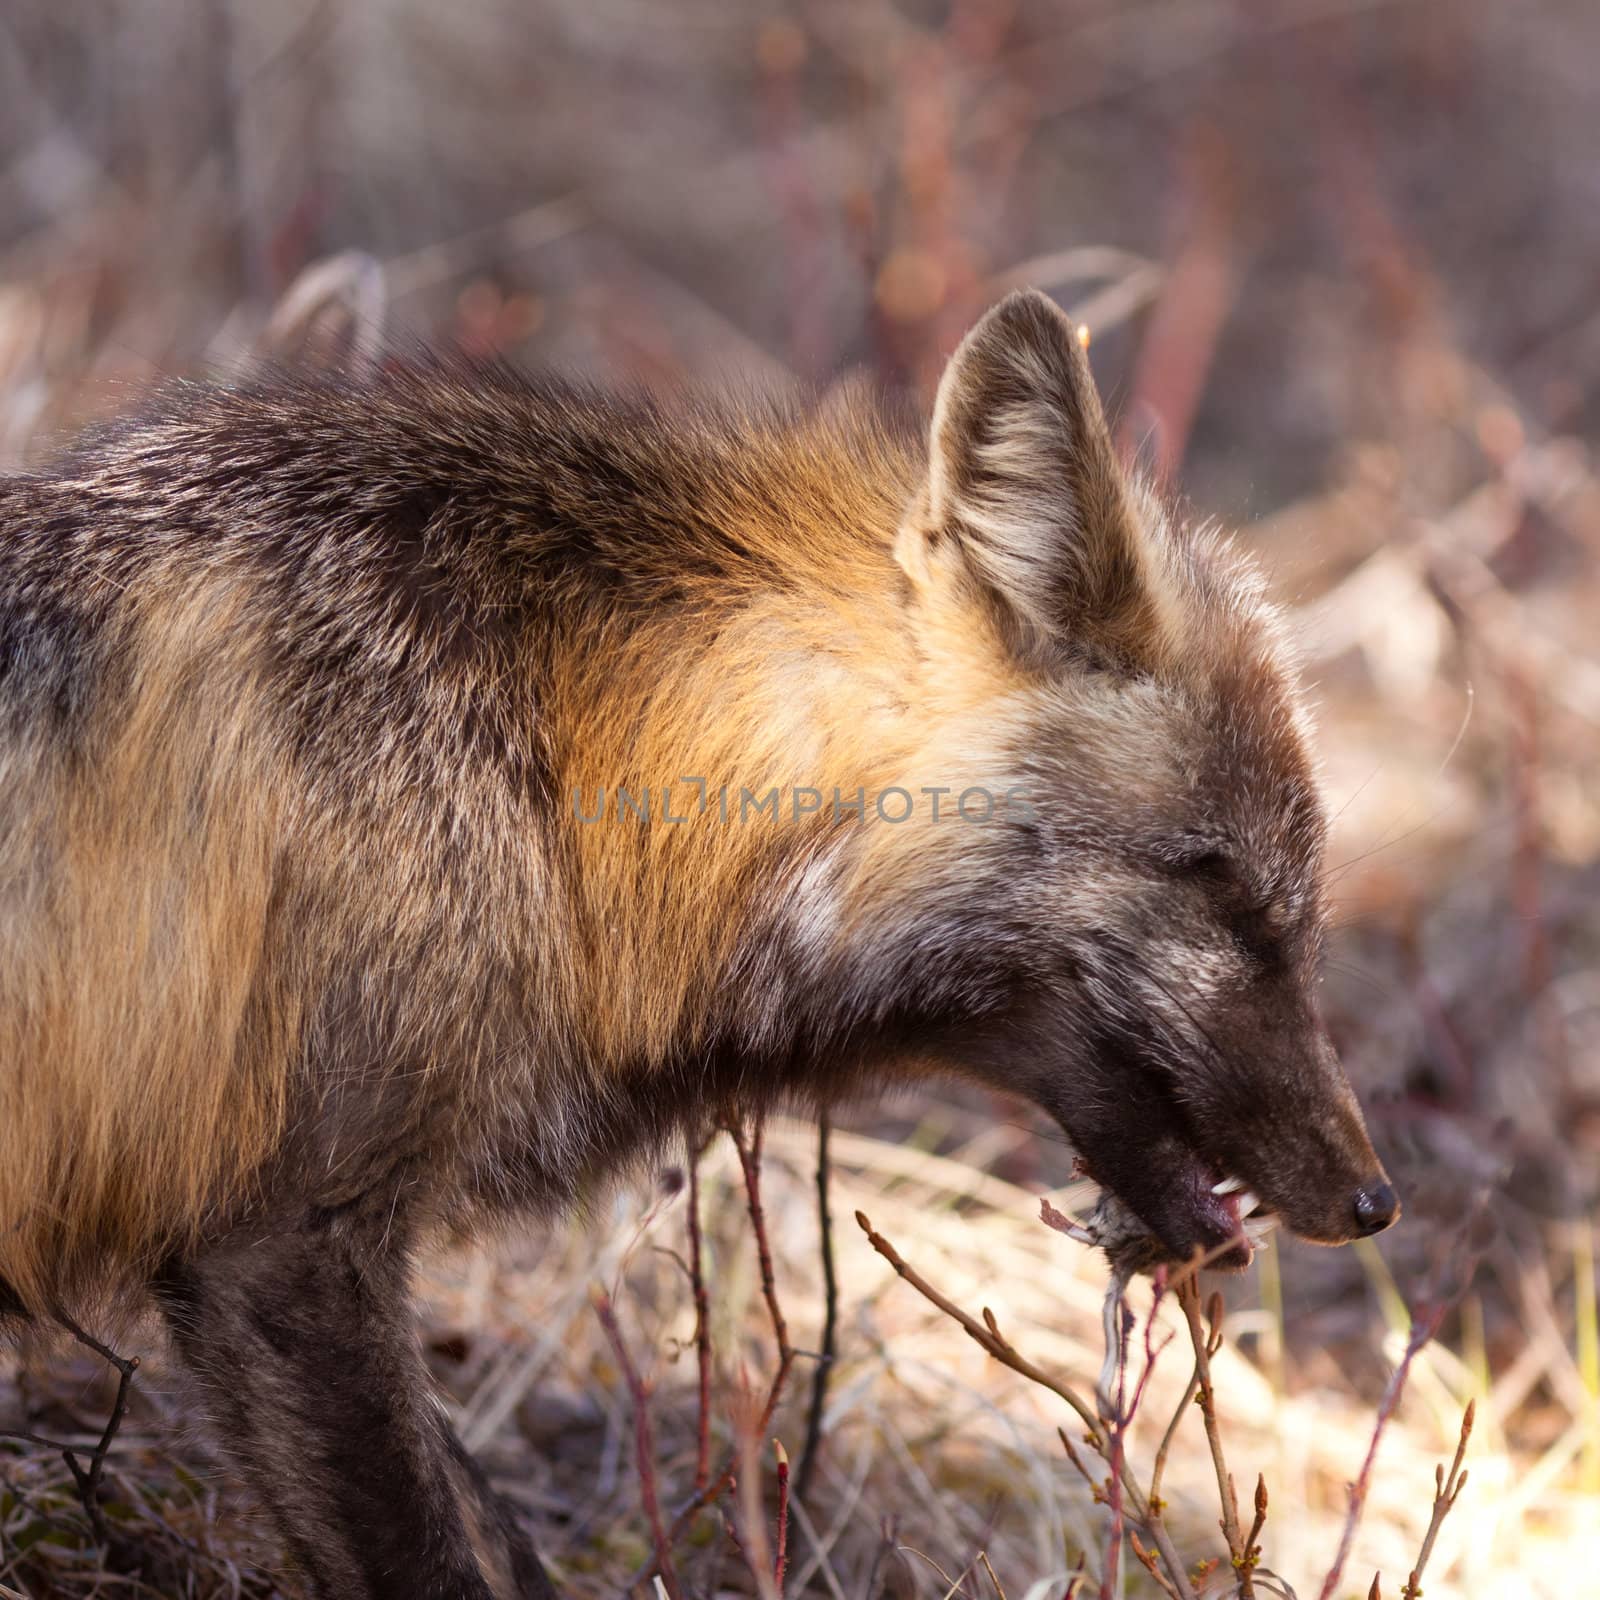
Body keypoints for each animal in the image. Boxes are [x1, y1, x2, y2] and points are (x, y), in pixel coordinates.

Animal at [0, 291, 1395, 1600]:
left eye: (1294, 907)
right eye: (1228, 892)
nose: (1374, 1203)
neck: (554, 761)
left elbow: (503, 1547)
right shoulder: (286, 1240)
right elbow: (439, 1561)